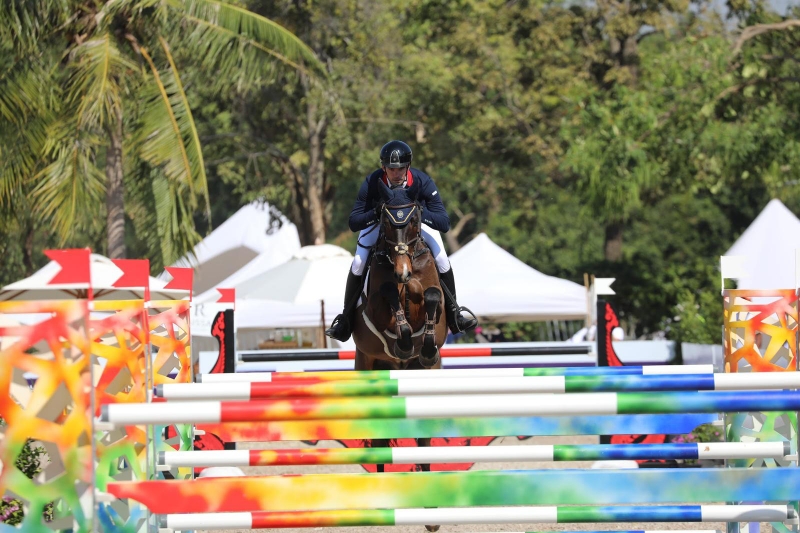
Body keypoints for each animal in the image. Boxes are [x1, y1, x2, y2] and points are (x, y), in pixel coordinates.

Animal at [352, 195, 450, 532]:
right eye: (384, 222)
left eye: (414, 220)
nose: (403, 273)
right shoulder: (379, 303)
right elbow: (389, 296)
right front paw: (405, 340)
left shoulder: (431, 296)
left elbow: (431, 294)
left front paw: (424, 345)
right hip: (368, 367)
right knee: (380, 433)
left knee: (423, 438)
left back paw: (431, 512)